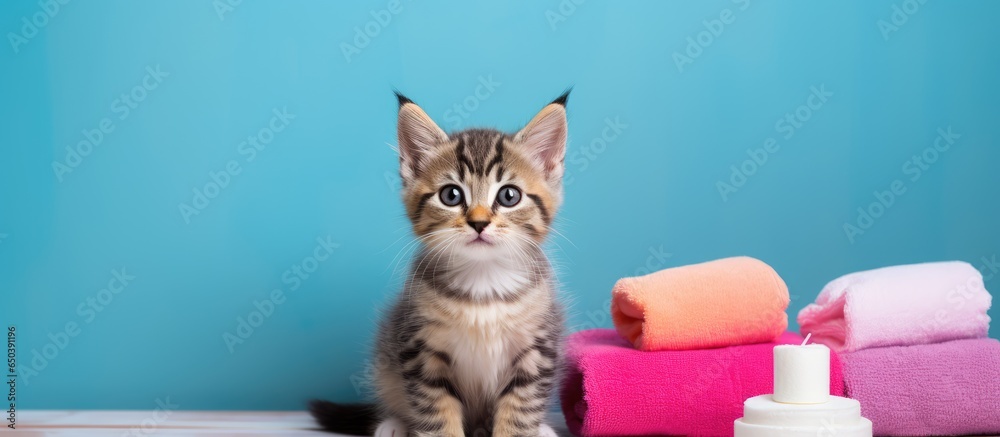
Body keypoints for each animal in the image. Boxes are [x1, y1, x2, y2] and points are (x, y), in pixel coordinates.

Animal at [308, 90, 568, 434]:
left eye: (509, 196)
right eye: (451, 195)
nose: (479, 223)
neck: (483, 280)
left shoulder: (537, 352)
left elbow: (520, 411)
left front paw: (522, 429)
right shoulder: (421, 352)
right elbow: (436, 413)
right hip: (386, 361)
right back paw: (392, 424)